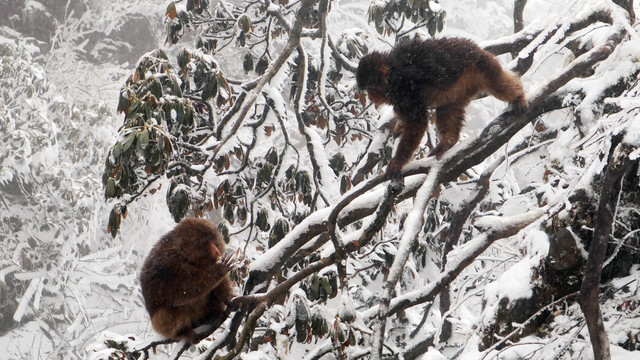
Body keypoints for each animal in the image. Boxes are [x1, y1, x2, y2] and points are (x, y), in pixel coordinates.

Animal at [356, 36, 524, 177]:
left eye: (372, 88)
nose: (370, 96)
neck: (392, 75)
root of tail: (476, 48)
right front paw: (399, 128)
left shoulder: (406, 91)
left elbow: (417, 123)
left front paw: (399, 161)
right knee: (447, 109)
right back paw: (448, 142)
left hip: (482, 66)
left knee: (497, 84)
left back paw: (519, 97)